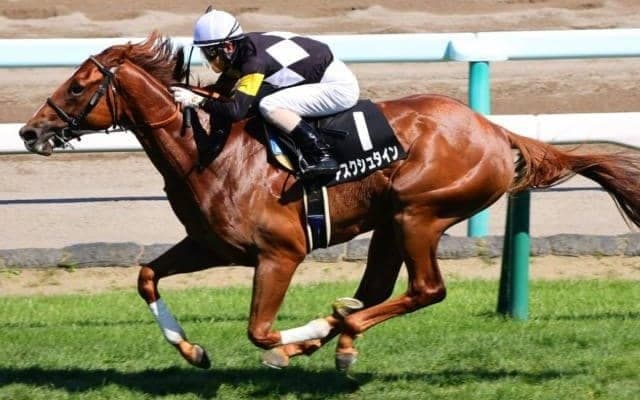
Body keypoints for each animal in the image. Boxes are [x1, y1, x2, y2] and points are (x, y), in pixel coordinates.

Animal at [18, 32, 640, 371]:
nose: (28, 132)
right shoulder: (212, 245)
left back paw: (333, 331)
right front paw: (193, 351)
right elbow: (146, 275)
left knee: (425, 290)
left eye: (78, 85)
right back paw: (339, 334)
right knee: (379, 290)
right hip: (392, 221)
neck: (209, 150)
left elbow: (260, 331)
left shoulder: (281, 252)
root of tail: (494, 129)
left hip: (420, 213)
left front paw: (298, 335)